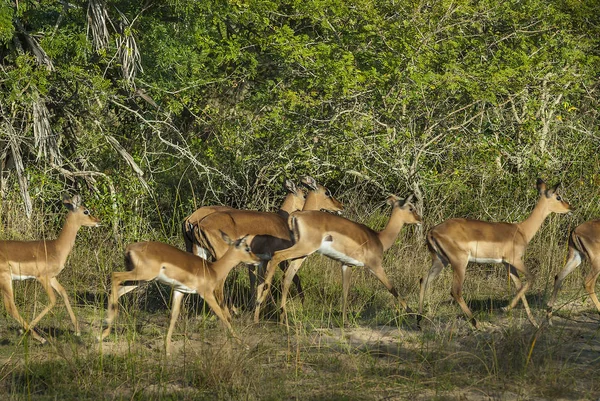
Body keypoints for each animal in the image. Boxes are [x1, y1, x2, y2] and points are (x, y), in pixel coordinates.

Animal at [0, 194, 99, 340]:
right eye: (86, 211)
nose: (98, 221)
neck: (56, 248)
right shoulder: (42, 278)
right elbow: (53, 300)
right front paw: (22, 330)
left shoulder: (52, 278)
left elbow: (63, 293)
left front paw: (77, 331)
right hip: (6, 279)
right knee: (10, 307)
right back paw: (39, 338)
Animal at [100, 230, 262, 354]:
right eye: (247, 248)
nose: (258, 260)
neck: (213, 270)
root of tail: (129, 247)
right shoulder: (207, 294)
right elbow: (223, 316)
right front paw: (245, 345)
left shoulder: (179, 291)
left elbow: (173, 316)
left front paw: (167, 350)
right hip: (142, 275)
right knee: (114, 275)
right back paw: (104, 331)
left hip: (140, 280)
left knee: (118, 290)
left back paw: (104, 332)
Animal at [192, 177, 342, 314]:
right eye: (327, 192)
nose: (340, 206)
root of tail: (198, 224)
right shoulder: (277, 259)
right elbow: (290, 278)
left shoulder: (261, 262)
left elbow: (259, 282)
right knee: (218, 286)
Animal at [253, 195, 422, 324]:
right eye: (411, 207)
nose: (420, 219)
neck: (379, 238)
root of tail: (295, 216)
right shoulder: (375, 266)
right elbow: (392, 289)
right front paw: (415, 317)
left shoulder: (346, 265)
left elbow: (345, 291)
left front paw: (345, 321)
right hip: (303, 248)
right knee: (277, 256)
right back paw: (261, 305)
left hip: (302, 254)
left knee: (287, 277)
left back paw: (276, 318)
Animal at [418, 179, 572, 328]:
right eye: (558, 197)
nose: (570, 207)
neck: (521, 230)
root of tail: (432, 231)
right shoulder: (516, 260)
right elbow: (531, 278)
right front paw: (505, 308)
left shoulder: (507, 264)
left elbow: (519, 286)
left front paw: (534, 323)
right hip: (459, 263)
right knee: (455, 291)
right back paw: (476, 324)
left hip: (440, 261)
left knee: (424, 280)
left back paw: (420, 321)